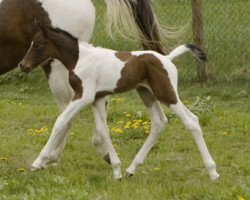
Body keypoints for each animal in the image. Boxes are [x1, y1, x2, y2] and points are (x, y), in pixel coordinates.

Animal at [19, 24, 219, 180]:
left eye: (37, 45)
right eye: (31, 44)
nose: (23, 65)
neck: (80, 59)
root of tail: (167, 59)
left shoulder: (84, 96)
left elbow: (60, 122)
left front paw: (38, 162)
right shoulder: (97, 99)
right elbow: (103, 130)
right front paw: (116, 170)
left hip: (166, 94)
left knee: (191, 121)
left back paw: (213, 172)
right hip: (146, 93)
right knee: (159, 122)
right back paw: (131, 169)